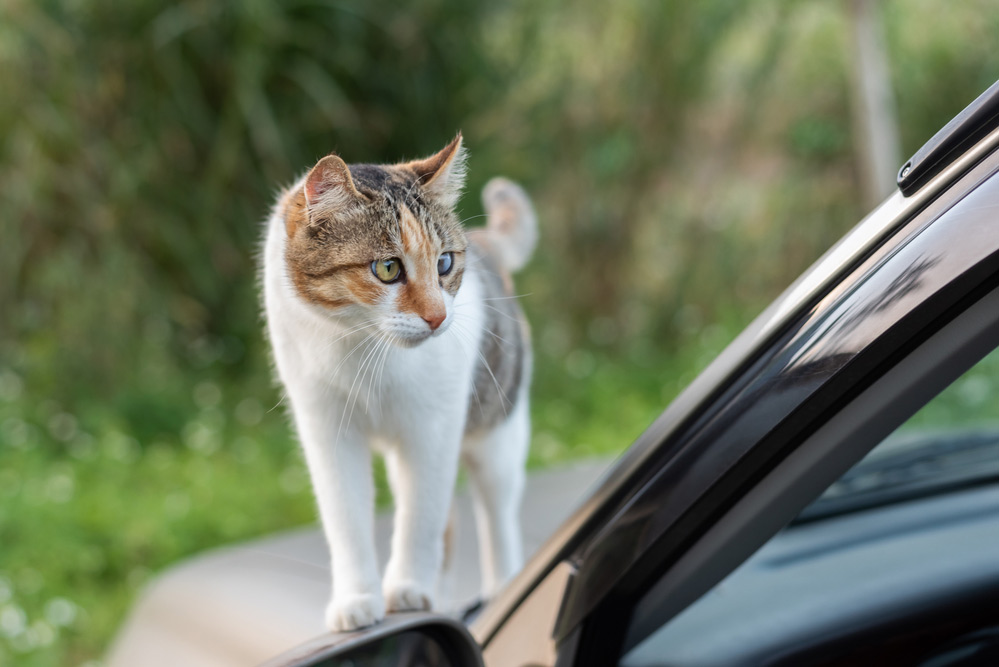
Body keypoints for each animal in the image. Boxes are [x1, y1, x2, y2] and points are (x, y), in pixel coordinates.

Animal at [262, 134, 536, 632]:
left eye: (444, 263)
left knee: (497, 516)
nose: (439, 317)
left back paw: (502, 589)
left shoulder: (433, 430)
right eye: (387, 269)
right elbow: (346, 519)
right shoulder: (326, 430)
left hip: (498, 433)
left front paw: (408, 589)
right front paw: (357, 600)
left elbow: (421, 517)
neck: (360, 348)